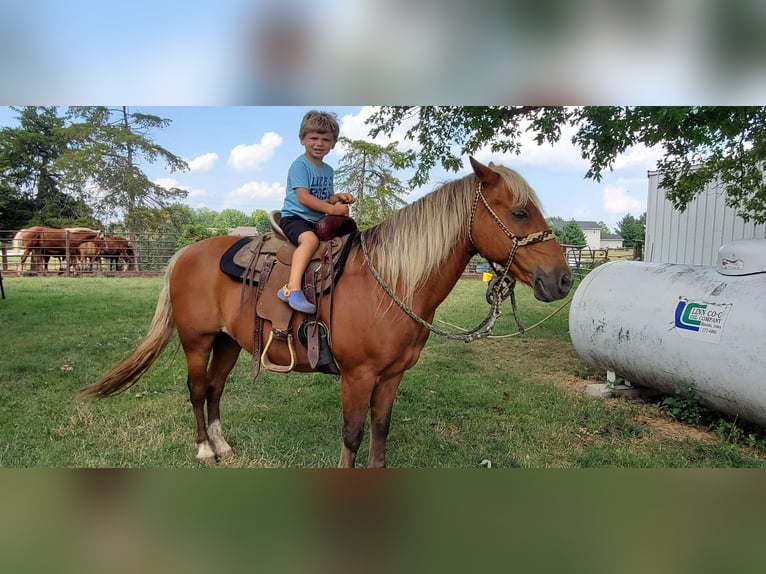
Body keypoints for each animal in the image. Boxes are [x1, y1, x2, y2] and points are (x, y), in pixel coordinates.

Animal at [78, 158, 572, 468]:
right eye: (520, 212)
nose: (563, 280)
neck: (391, 282)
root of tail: (185, 253)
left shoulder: (391, 376)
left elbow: (380, 431)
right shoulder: (358, 376)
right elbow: (352, 435)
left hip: (228, 343)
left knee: (216, 390)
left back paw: (222, 445)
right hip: (197, 341)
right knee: (198, 391)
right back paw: (203, 449)